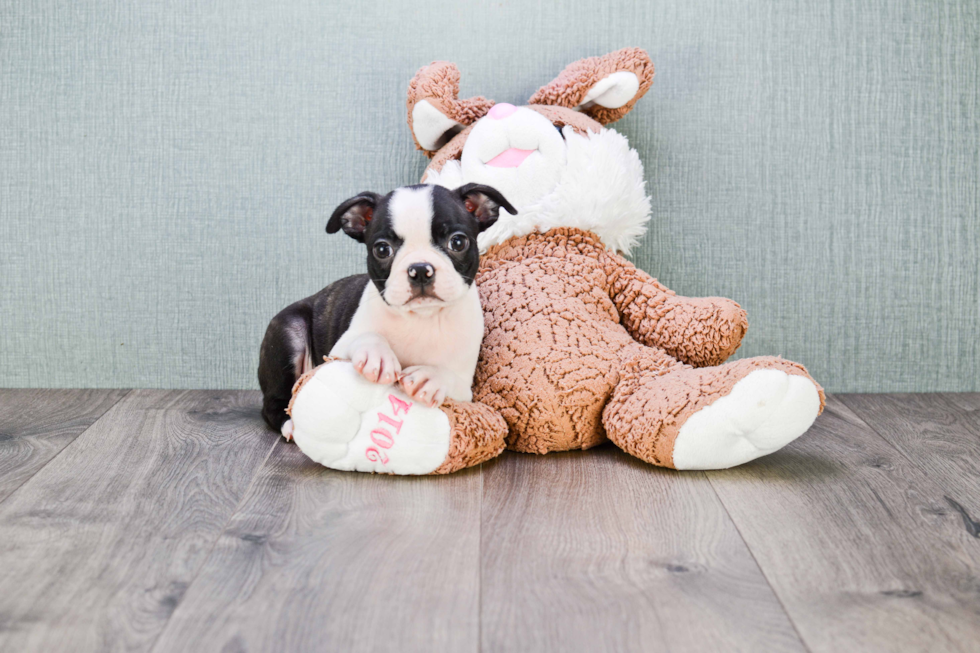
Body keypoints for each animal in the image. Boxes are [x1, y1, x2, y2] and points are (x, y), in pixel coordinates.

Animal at [256, 182, 516, 438]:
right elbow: (366, 336)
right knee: (272, 403)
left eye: (458, 242)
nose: (420, 269)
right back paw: (289, 424)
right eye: (382, 250)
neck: (422, 318)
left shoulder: (465, 386)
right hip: (289, 332)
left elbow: (450, 377)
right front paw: (377, 354)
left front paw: (431, 377)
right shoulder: (338, 348)